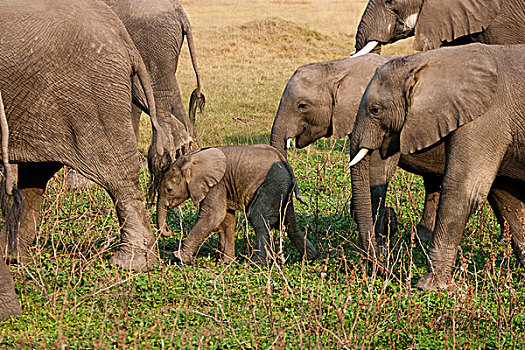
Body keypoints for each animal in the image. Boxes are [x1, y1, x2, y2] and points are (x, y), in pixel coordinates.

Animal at [0, 0, 169, 272]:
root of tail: (125, 40)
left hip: (91, 95)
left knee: (117, 171)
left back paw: (130, 264)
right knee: (37, 174)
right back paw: (11, 257)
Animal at [156, 145, 320, 266]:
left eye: (169, 190)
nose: (168, 230)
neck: (192, 158)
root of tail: (286, 163)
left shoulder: (217, 184)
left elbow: (212, 216)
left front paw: (179, 257)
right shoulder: (223, 185)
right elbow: (225, 220)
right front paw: (226, 263)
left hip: (272, 185)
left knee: (259, 219)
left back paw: (256, 264)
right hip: (282, 189)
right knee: (289, 223)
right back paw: (311, 258)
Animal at [348, 43, 524, 290]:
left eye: (375, 109)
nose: (386, 266)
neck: (430, 61)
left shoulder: (486, 118)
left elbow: (464, 191)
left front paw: (429, 286)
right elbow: (506, 200)